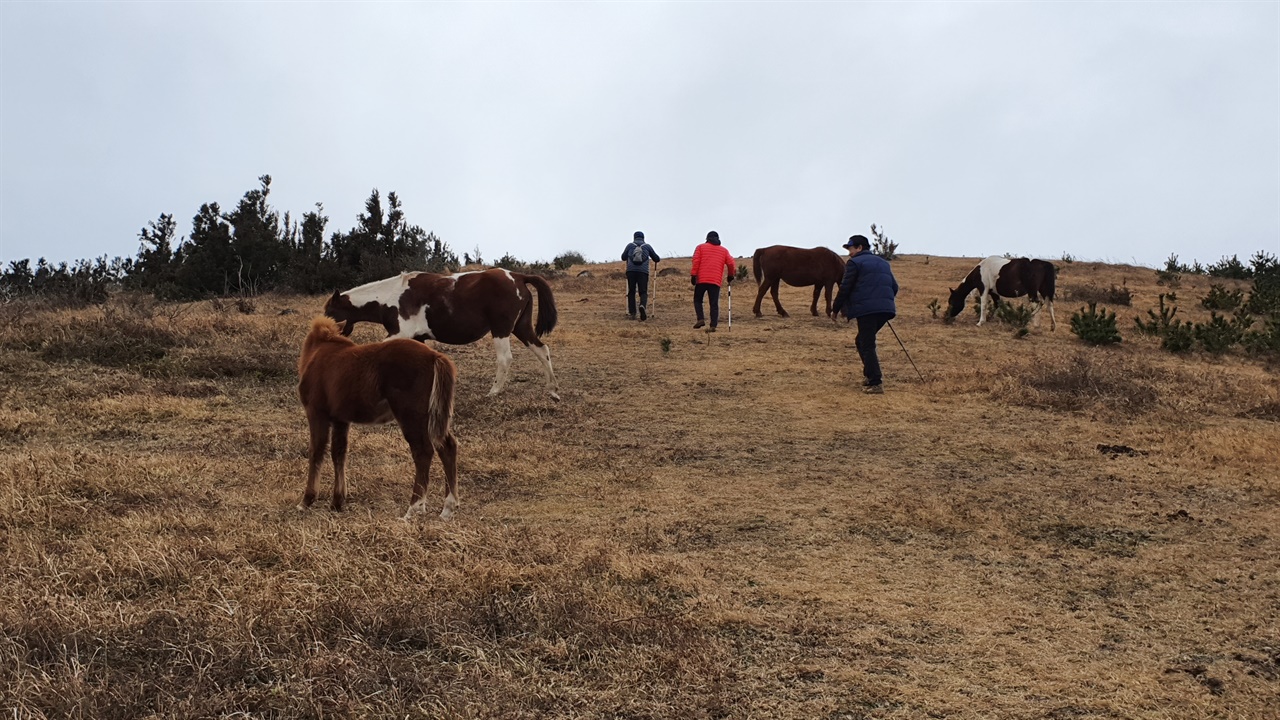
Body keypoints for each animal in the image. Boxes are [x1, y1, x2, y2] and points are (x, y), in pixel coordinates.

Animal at [298, 316, 460, 517]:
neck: (317, 353)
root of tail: (434, 356)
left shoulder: (316, 413)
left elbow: (316, 451)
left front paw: (306, 500)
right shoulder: (340, 419)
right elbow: (339, 453)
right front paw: (337, 502)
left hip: (411, 416)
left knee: (423, 451)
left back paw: (413, 508)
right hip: (432, 415)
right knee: (447, 446)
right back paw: (447, 508)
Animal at [325, 267, 560, 399]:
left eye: (329, 311)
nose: (325, 329)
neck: (390, 296)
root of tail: (518, 276)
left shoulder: (399, 334)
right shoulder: (417, 338)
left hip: (501, 330)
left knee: (505, 359)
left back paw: (494, 392)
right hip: (521, 327)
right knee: (542, 350)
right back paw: (552, 390)